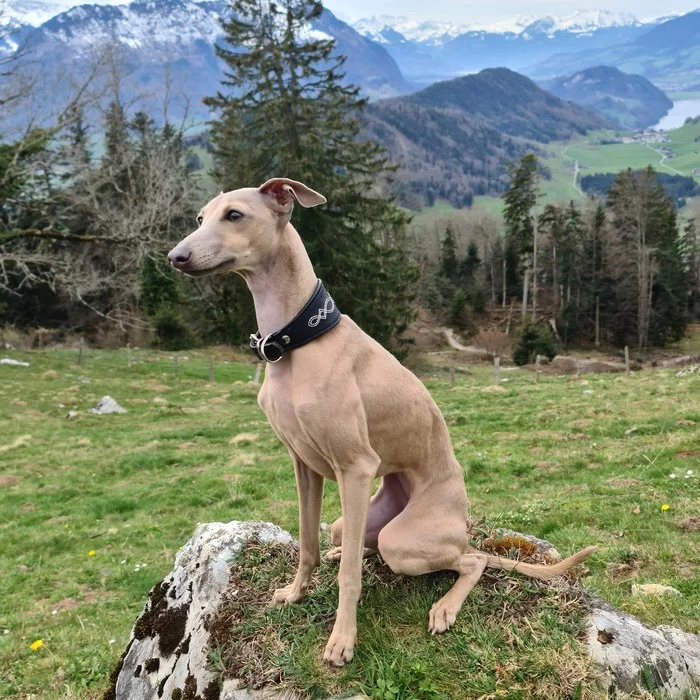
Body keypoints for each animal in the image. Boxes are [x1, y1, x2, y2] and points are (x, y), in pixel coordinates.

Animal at [170, 176, 596, 668]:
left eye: (235, 215)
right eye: (200, 217)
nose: (175, 257)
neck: (298, 340)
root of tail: (460, 526)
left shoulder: (354, 469)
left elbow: (350, 579)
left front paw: (342, 640)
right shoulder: (303, 465)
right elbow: (308, 544)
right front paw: (296, 593)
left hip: (403, 538)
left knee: (473, 560)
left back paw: (445, 606)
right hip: (360, 519)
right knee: (358, 543)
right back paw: (342, 550)